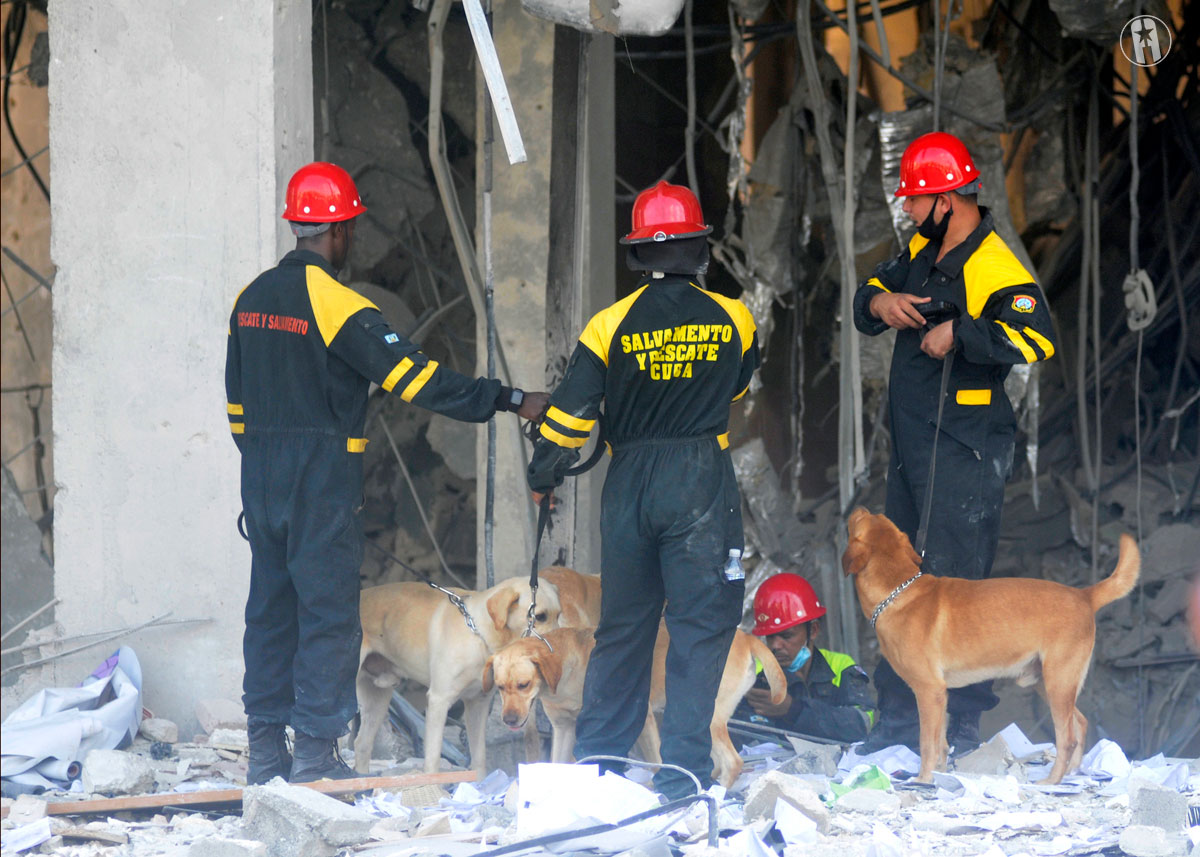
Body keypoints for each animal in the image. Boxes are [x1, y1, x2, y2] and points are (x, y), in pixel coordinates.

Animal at [352, 573, 559, 772]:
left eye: (559, 615)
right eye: (540, 616)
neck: (479, 635)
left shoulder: (478, 703)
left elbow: (479, 758)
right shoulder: (439, 701)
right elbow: (433, 759)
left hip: (378, 699)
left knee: (362, 744)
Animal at [840, 506, 1137, 782]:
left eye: (859, 521)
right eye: (878, 517)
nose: (858, 507)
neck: (899, 591)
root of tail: (1084, 595)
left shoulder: (928, 690)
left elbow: (927, 744)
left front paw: (923, 780)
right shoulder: (940, 696)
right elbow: (941, 744)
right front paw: (940, 775)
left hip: (1058, 682)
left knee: (1067, 739)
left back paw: (1052, 781)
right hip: (1048, 683)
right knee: (1081, 722)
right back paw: (1072, 773)